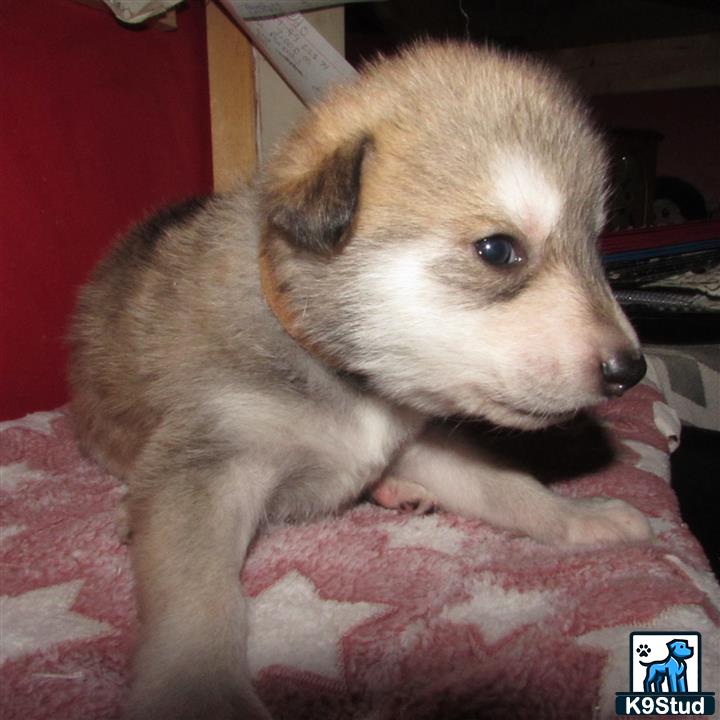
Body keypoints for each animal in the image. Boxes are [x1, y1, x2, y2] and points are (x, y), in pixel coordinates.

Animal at [69, 42, 652, 716]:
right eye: (498, 249)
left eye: (597, 244)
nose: (630, 369)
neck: (345, 373)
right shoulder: (213, 462)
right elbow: (202, 593)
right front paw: (201, 690)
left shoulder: (421, 438)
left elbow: (508, 486)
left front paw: (577, 514)